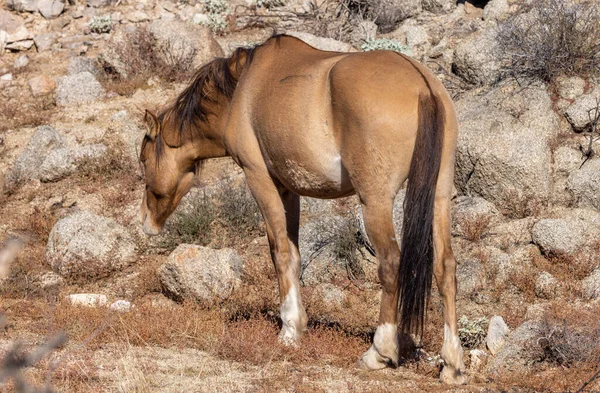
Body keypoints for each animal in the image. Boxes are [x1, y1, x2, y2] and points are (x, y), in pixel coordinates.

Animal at [139, 33, 464, 382]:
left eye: (143, 159)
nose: (146, 221)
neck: (242, 90)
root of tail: (422, 86)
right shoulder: (289, 191)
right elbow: (294, 255)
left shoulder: (260, 180)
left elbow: (280, 253)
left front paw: (289, 330)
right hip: (440, 197)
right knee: (446, 267)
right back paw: (452, 364)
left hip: (375, 201)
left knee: (390, 264)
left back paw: (379, 352)